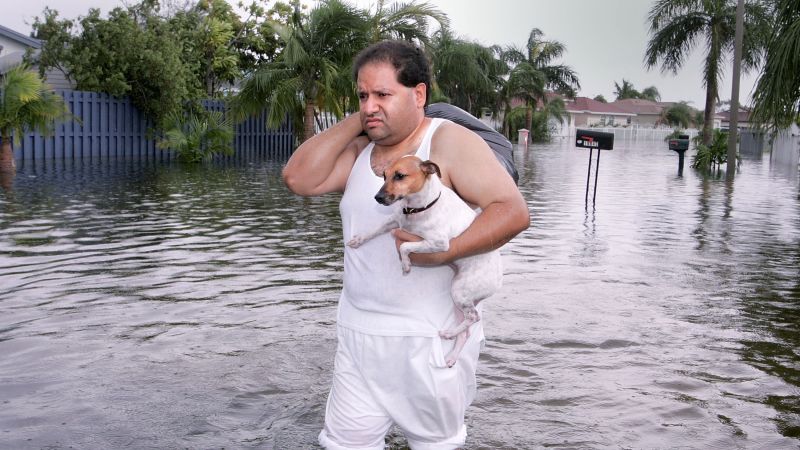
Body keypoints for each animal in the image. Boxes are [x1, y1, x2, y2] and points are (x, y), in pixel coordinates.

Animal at [348, 156, 504, 368]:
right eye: (384, 176)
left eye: (400, 175)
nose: (377, 198)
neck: (417, 208)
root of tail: (498, 281)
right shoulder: (394, 221)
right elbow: (373, 230)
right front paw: (358, 240)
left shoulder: (438, 243)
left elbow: (405, 246)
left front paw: (405, 265)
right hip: (460, 301)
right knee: (466, 332)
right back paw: (452, 355)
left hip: (459, 290)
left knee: (474, 317)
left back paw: (448, 333)